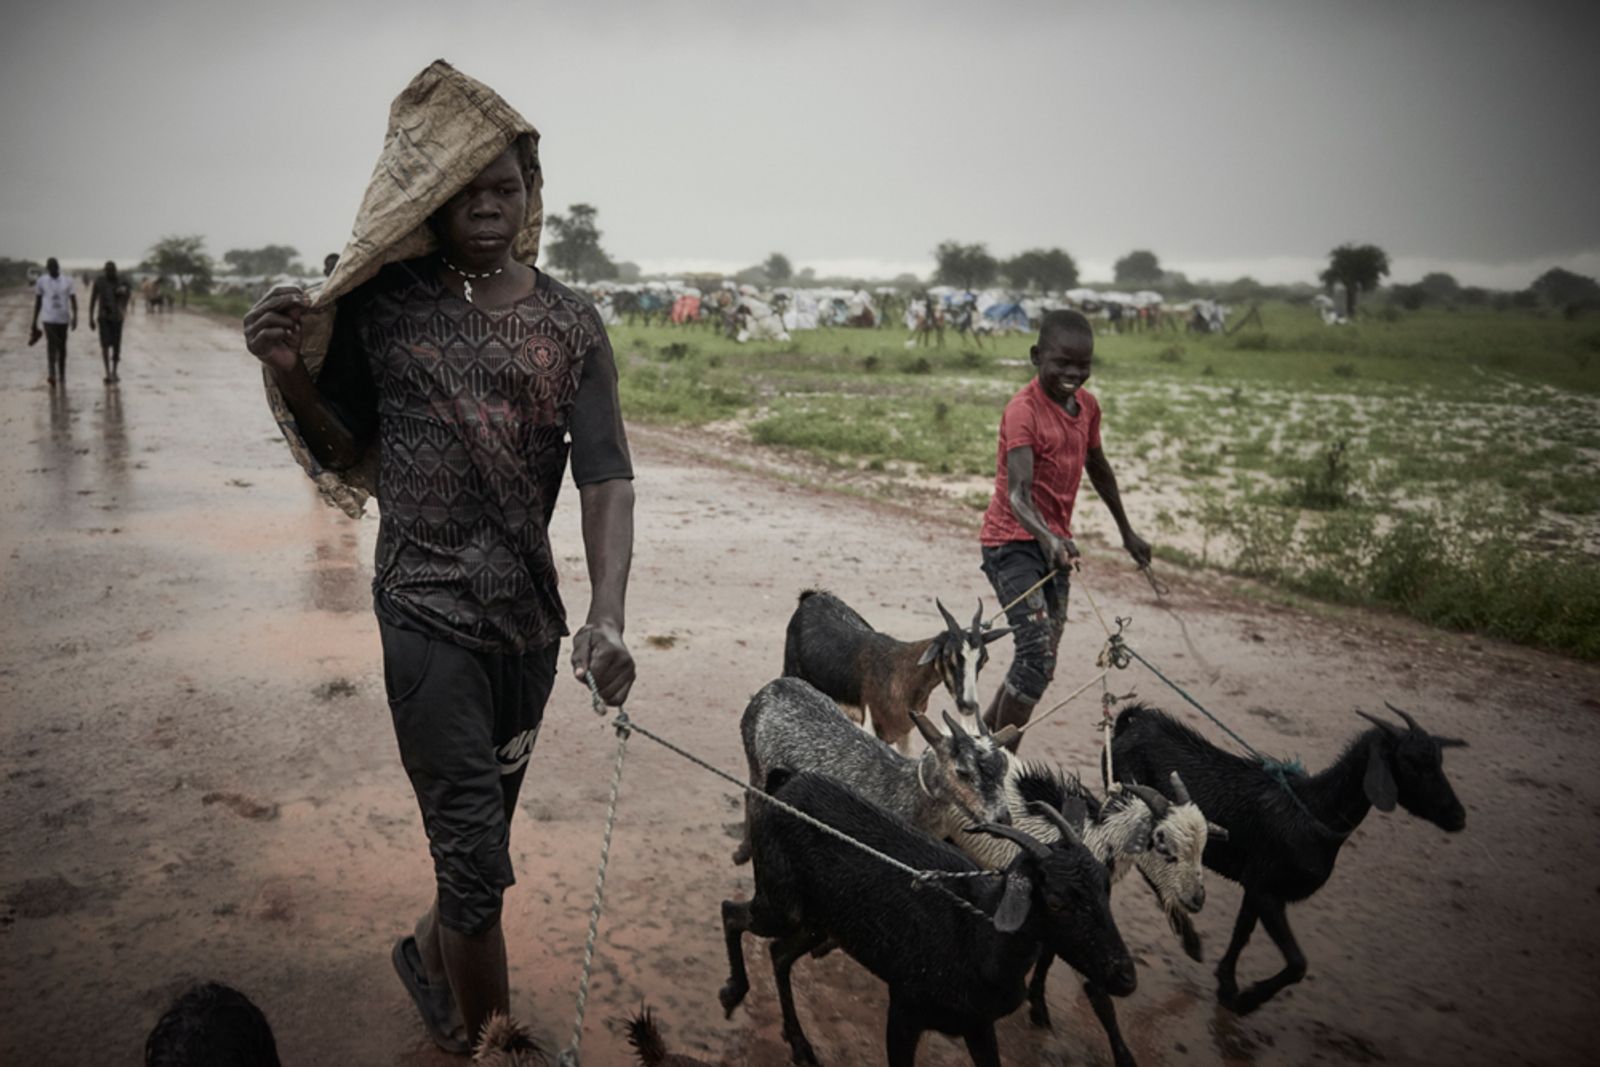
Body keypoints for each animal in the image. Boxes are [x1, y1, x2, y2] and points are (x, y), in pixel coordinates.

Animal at [726, 771, 1139, 1067]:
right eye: (1055, 902)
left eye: (1105, 886)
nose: (1125, 977)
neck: (979, 939)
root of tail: (785, 783)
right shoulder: (904, 1011)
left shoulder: (978, 1027)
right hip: (780, 903)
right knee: (732, 913)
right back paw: (733, 992)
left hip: (818, 921)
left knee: (779, 953)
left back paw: (799, 1044)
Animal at [1113, 703, 1465, 1017]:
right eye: (1411, 762)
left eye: (1439, 760)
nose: (1458, 816)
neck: (1314, 812)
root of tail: (1130, 723)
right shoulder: (1268, 891)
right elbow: (1297, 963)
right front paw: (1248, 999)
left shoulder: (1257, 886)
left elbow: (1242, 933)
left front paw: (1227, 985)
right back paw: (1189, 938)